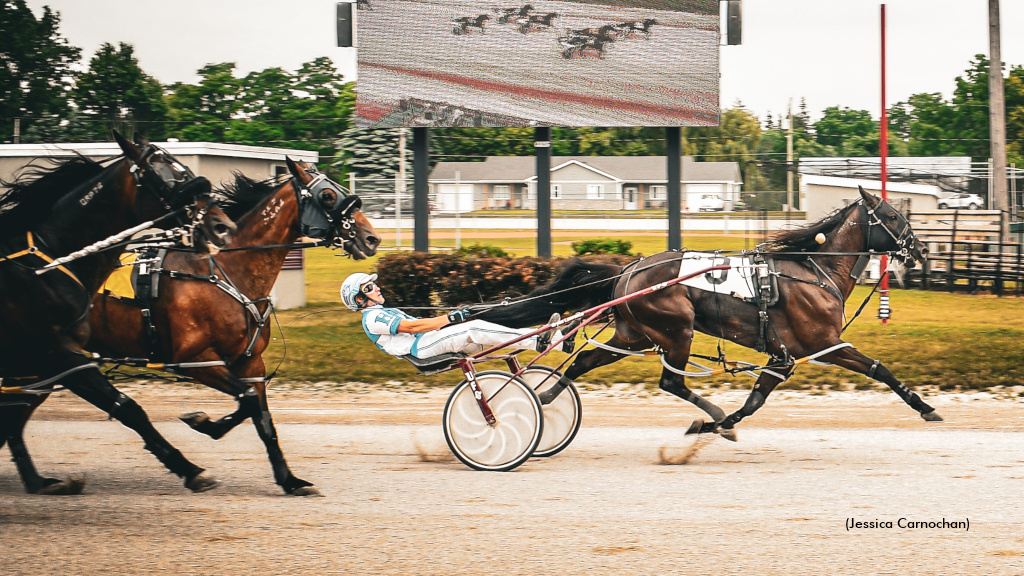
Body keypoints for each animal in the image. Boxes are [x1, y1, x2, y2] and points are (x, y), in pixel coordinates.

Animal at [0, 131, 234, 494]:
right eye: (164, 175)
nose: (221, 225)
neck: (45, 265)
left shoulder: (36, 362)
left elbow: (9, 419)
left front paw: (39, 482)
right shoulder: (60, 355)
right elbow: (128, 408)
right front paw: (190, 469)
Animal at [87, 158, 380, 496]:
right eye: (328, 196)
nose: (372, 238)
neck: (225, 272)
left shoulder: (250, 362)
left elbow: (260, 416)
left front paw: (290, 480)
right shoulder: (194, 359)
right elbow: (249, 400)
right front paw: (202, 421)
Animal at [479, 187, 942, 438]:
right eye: (893, 215)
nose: (920, 249)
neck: (814, 271)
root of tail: (629, 268)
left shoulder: (782, 358)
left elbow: (755, 400)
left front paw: (721, 425)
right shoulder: (825, 343)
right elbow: (880, 368)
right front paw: (925, 406)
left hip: (635, 333)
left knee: (584, 361)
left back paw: (544, 397)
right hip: (676, 330)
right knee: (670, 381)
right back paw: (712, 411)